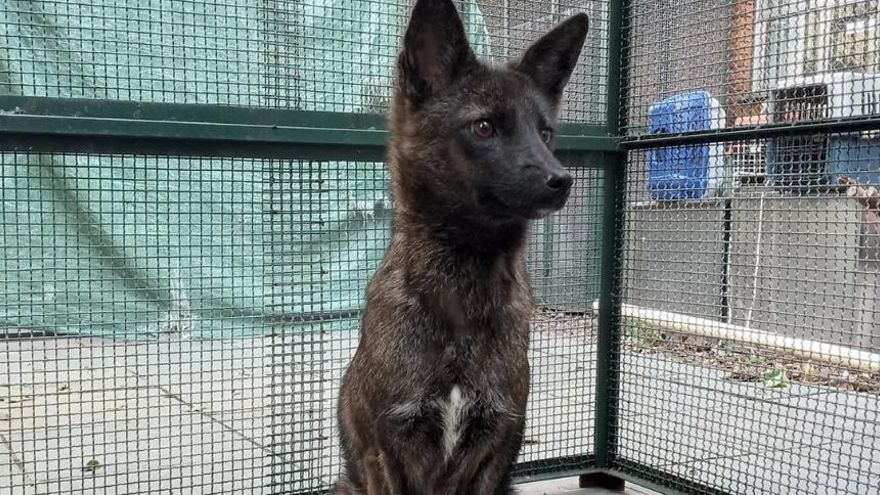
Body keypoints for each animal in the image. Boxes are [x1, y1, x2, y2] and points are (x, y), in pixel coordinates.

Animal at [334, 0, 589, 493]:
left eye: (545, 132)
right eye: (484, 126)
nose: (562, 180)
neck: (460, 293)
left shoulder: (495, 448)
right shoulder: (385, 452)